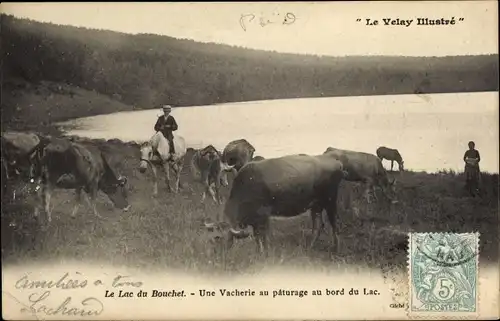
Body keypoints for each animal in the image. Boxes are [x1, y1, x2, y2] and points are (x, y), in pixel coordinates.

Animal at [201, 153, 346, 255]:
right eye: (211, 237)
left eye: (219, 238)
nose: (215, 254)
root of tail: (337, 163)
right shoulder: (255, 219)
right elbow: (257, 237)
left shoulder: (264, 215)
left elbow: (262, 236)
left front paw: (264, 252)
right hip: (316, 205)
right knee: (317, 225)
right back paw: (309, 247)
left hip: (330, 200)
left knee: (335, 224)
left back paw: (337, 250)